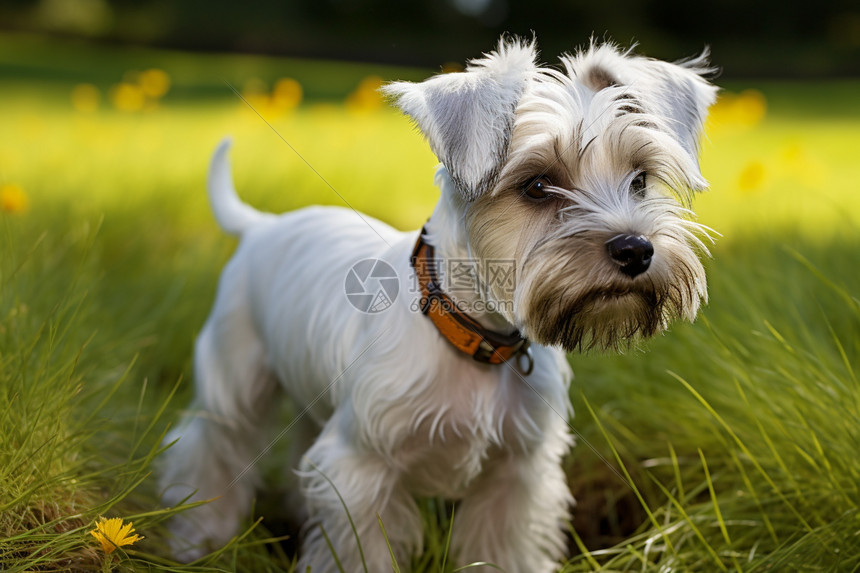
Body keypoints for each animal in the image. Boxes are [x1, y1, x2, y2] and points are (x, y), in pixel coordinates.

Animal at [160, 36, 712, 572]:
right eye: (537, 185)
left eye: (639, 179)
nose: (636, 249)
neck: (474, 334)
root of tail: (262, 224)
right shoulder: (362, 470)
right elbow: (360, 554)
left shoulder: (514, 477)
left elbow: (503, 553)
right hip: (233, 383)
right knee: (211, 450)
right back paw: (196, 539)